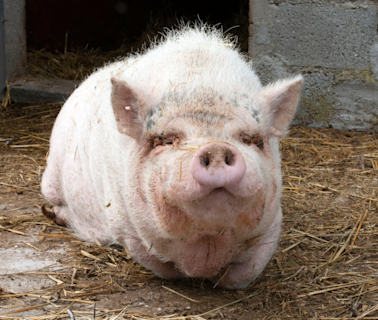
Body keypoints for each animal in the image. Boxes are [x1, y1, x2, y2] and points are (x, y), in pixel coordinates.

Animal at [41, 23, 302, 290]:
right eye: (165, 140)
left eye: (251, 140)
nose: (216, 148)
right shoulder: (125, 226)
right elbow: (163, 268)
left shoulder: (274, 223)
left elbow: (242, 275)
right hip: (50, 178)